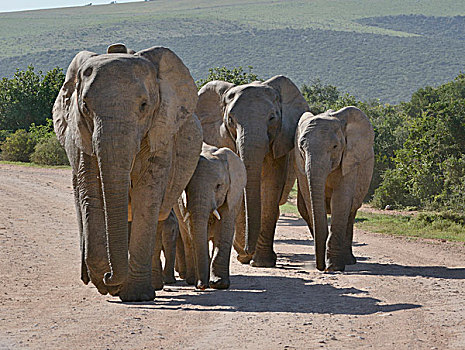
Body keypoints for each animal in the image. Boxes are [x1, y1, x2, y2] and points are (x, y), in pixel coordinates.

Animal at [52, 43, 201, 300]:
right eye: (85, 107)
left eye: (144, 106)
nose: (108, 277)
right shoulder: (80, 135)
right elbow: (92, 194)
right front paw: (105, 283)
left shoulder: (161, 132)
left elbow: (147, 197)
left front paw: (135, 295)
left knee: (157, 217)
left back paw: (151, 286)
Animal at [174, 144, 246, 288]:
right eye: (186, 187)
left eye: (218, 186)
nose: (201, 286)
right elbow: (194, 231)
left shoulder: (232, 194)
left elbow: (224, 229)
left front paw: (219, 284)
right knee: (187, 239)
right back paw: (191, 280)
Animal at [195, 76, 308, 266]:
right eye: (230, 119)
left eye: (272, 118)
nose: (248, 249)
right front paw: (244, 256)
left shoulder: (279, 142)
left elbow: (271, 189)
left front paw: (262, 262)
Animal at [296, 106, 376, 270]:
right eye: (301, 147)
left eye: (335, 147)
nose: (320, 267)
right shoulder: (300, 165)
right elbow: (309, 200)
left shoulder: (350, 160)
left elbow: (340, 201)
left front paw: (334, 267)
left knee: (350, 213)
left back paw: (348, 261)